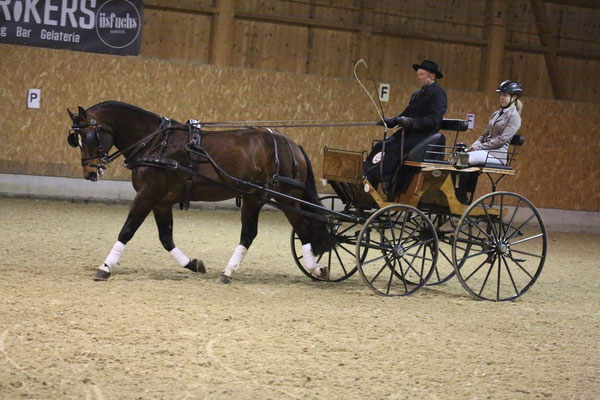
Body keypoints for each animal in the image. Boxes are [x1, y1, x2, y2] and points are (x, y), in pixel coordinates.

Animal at [68, 101, 336, 286]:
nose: (90, 172)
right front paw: (193, 264)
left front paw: (105, 267)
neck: (156, 143)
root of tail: (291, 145)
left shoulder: (147, 194)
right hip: (254, 197)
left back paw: (315, 269)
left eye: (89, 136)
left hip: (282, 195)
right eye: (76, 139)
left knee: (301, 229)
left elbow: (127, 230)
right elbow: (166, 238)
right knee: (252, 233)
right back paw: (228, 272)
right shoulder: (161, 201)